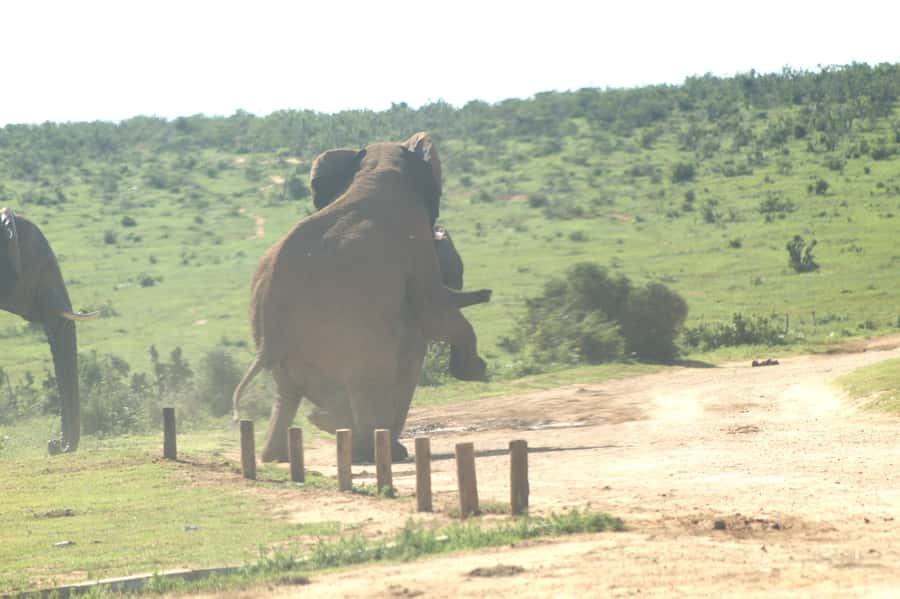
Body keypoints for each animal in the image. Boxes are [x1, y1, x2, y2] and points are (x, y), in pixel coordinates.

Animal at [232, 133, 491, 463]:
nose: (487, 293)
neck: (374, 166)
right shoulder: (415, 242)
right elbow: (434, 313)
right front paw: (477, 371)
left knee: (288, 392)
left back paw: (285, 451)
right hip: (347, 327)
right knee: (367, 382)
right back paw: (373, 451)